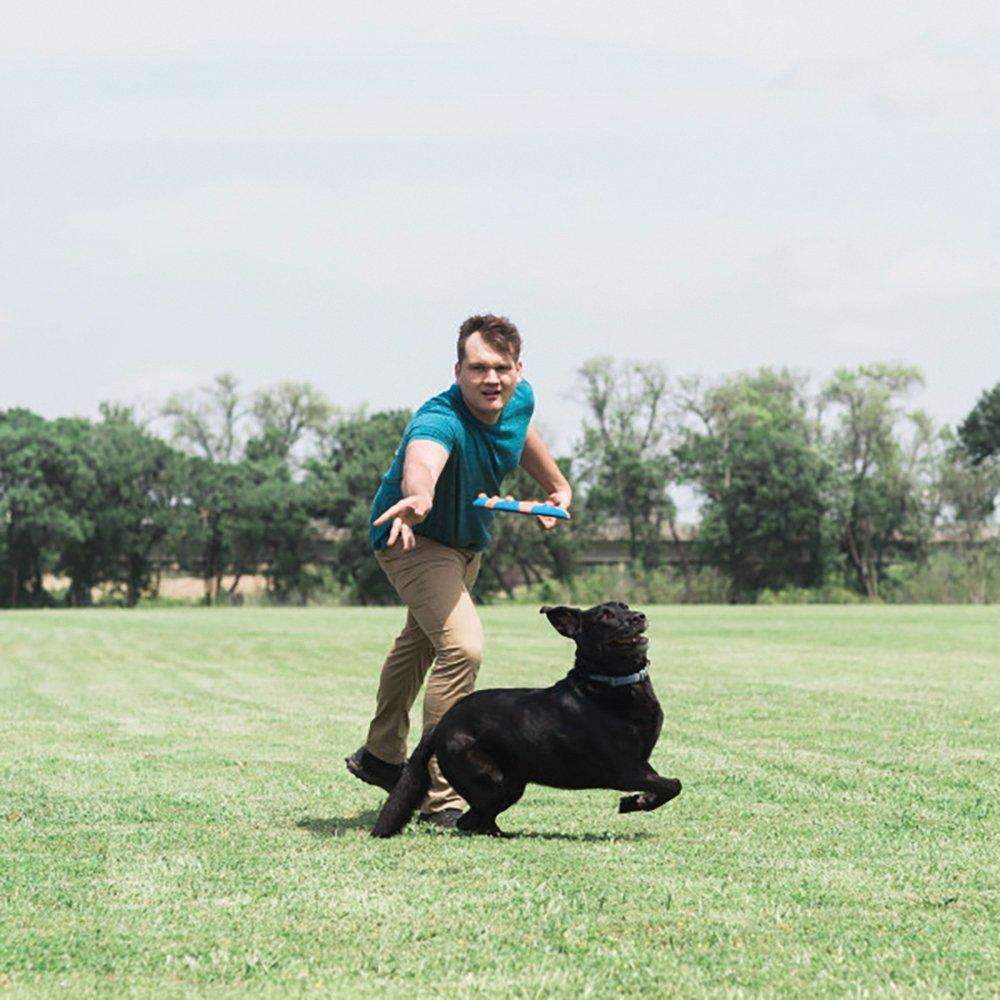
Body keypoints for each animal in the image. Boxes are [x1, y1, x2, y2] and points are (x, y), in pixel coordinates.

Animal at [372, 600, 684, 836]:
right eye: (606, 616)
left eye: (625, 606)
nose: (639, 616)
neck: (608, 684)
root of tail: (440, 726)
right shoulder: (625, 769)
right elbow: (674, 784)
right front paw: (634, 802)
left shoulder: (642, 765)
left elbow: (666, 785)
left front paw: (642, 799)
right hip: (495, 782)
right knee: (469, 821)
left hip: (510, 784)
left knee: (478, 820)